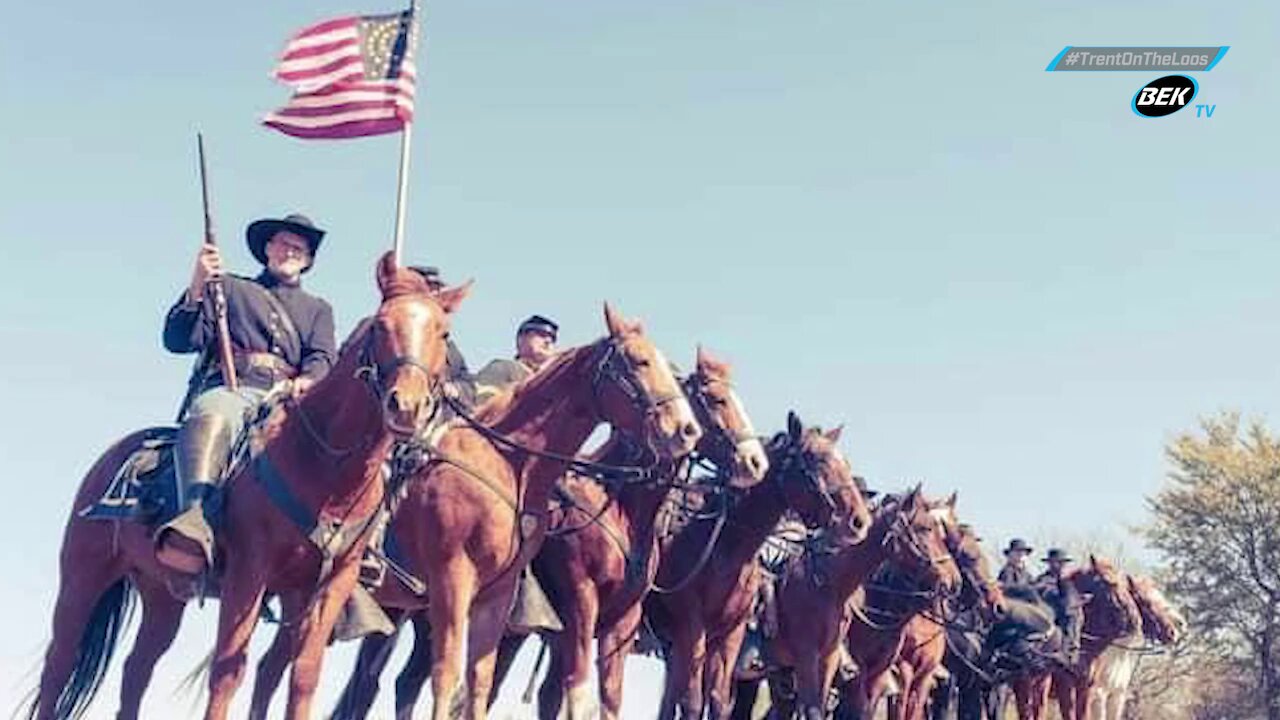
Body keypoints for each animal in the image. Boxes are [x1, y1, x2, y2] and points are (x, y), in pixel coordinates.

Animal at [24, 251, 468, 717]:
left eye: (443, 331)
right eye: (381, 324)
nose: (407, 406)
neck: (325, 469)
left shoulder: (327, 585)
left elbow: (303, 675)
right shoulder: (249, 570)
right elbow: (227, 671)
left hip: (163, 595)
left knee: (136, 670)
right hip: (82, 575)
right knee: (59, 664)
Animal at [645, 412, 875, 717]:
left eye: (845, 463)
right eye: (815, 459)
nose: (858, 521)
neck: (727, 548)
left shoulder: (730, 634)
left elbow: (717, 701)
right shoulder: (692, 628)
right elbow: (693, 703)